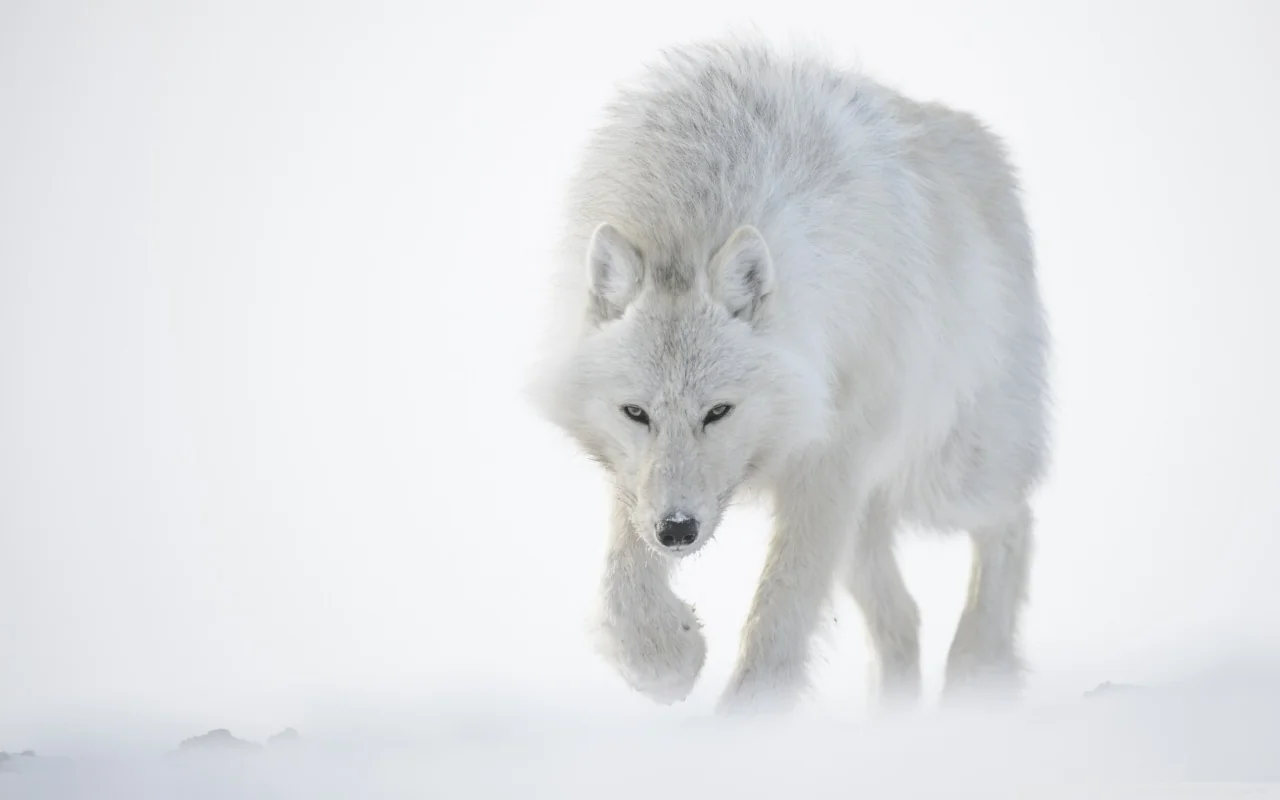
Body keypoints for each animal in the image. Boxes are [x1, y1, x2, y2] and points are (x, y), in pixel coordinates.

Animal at [529, 38, 1050, 714]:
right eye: (636, 413)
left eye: (718, 412)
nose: (677, 531)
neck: (691, 211)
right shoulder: (638, 478)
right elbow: (624, 579)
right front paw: (664, 659)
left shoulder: (831, 458)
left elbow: (782, 607)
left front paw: (746, 720)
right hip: (870, 520)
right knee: (905, 618)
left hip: (946, 475)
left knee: (1013, 520)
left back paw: (977, 672)